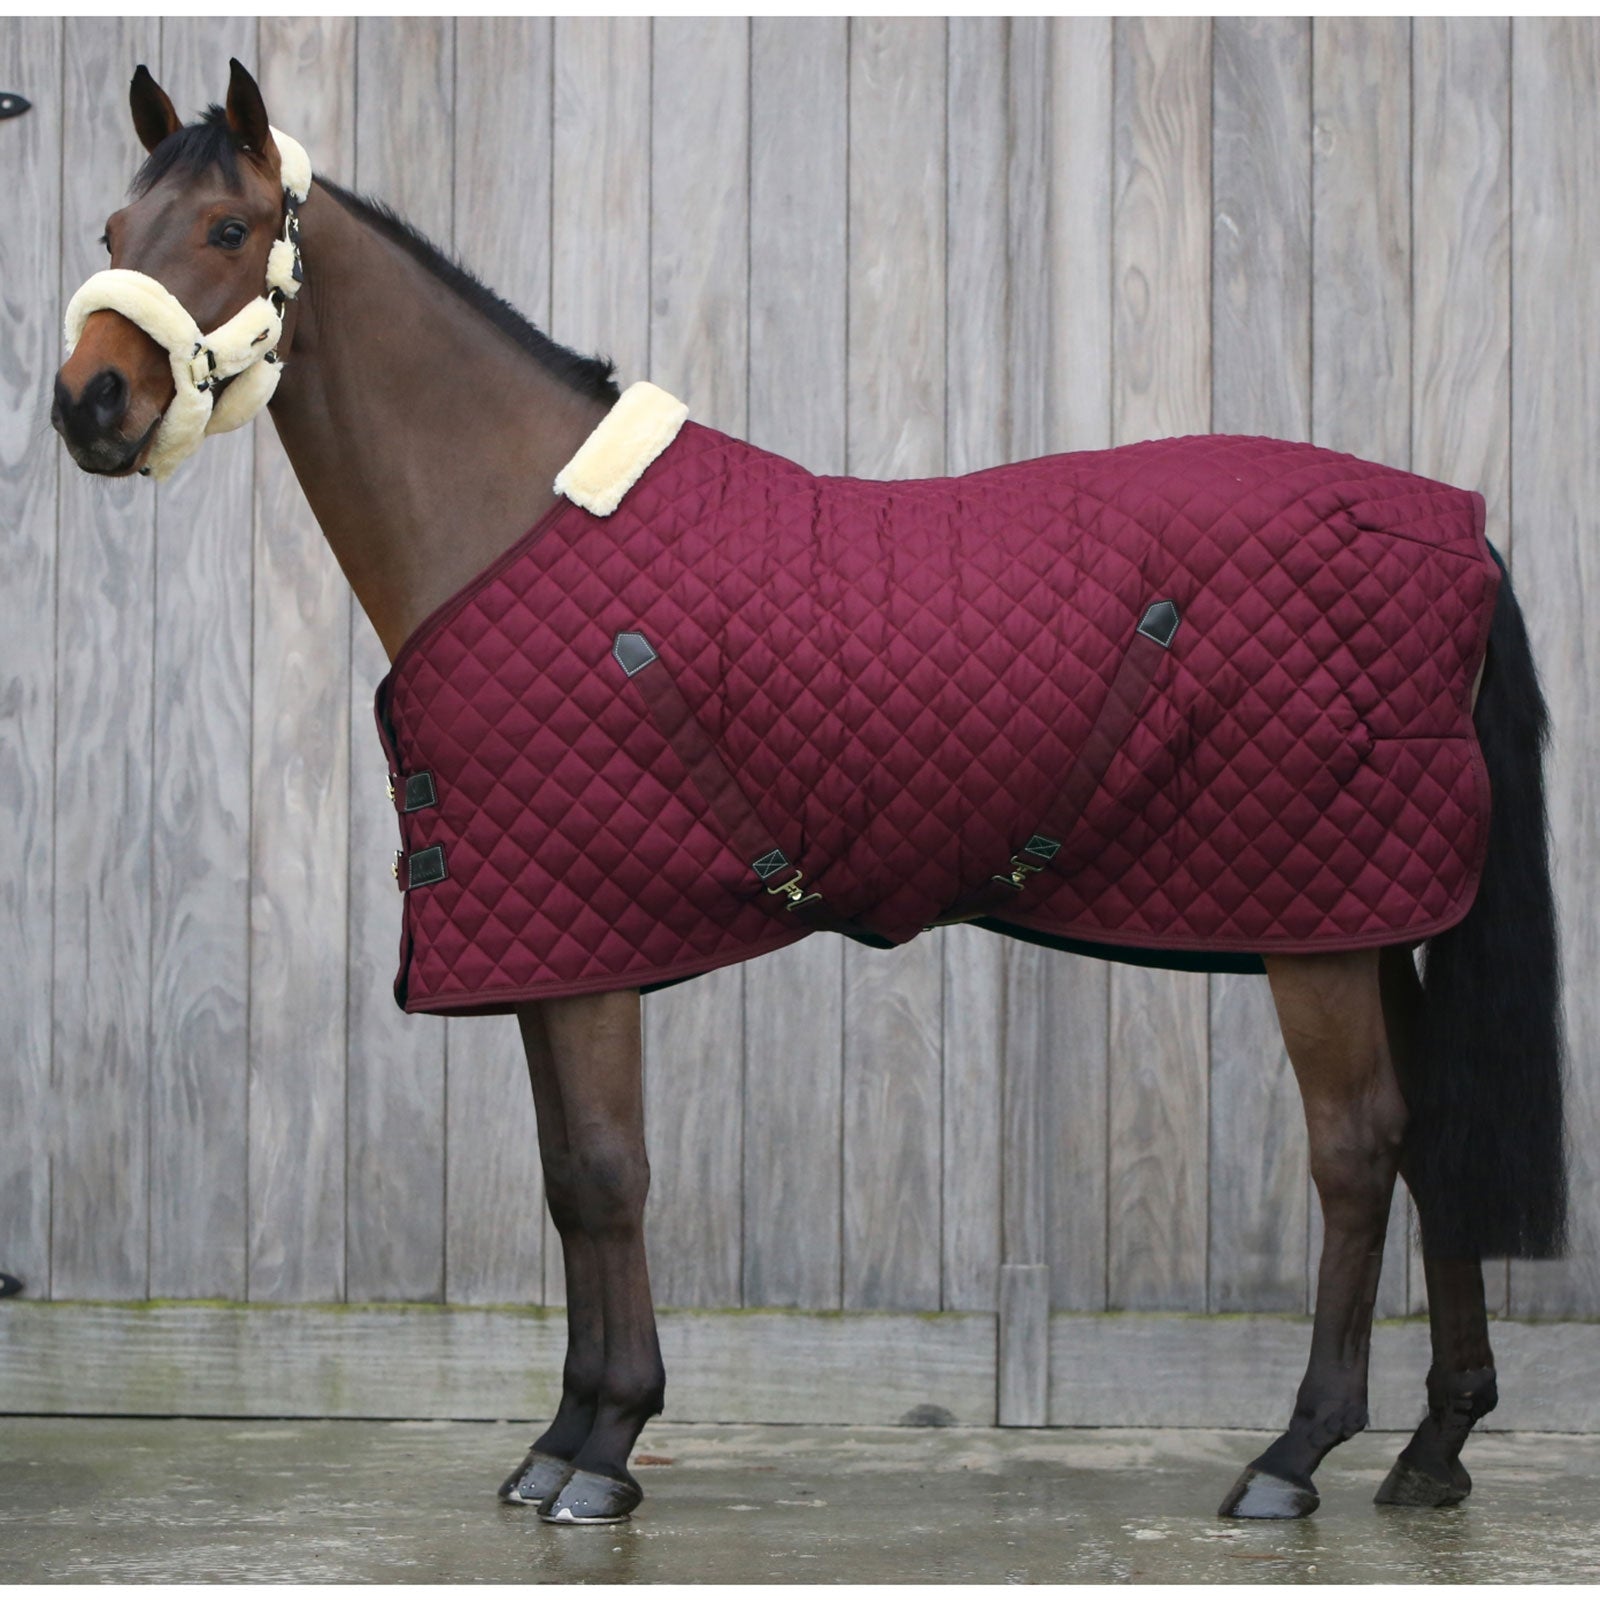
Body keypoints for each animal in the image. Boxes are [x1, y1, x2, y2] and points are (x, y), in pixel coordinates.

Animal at [52, 60, 1565, 1528]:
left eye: (229, 230)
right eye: (113, 232)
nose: (89, 405)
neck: (510, 519)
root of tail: (1450, 523)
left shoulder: (591, 943)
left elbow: (607, 1172)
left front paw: (607, 1448)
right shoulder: (542, 942)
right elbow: (565, 1181)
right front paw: (561, 1437)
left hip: (1321, 931)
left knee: (1360, 1149)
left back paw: (1293, 1456)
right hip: (1371, 918)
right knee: (1435, 1140)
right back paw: (1432, 1450)